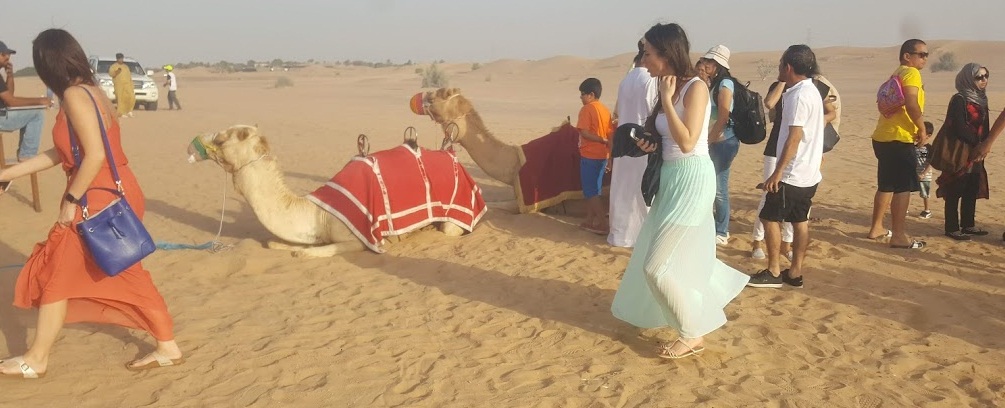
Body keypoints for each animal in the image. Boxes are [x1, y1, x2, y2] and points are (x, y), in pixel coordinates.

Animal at [186, 125, 473, 257]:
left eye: (222, 139)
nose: (191, 145)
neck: (318, 212)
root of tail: (452, 154)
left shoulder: (358, 239)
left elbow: (303, 252)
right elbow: (276, 242)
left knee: (449, 230)